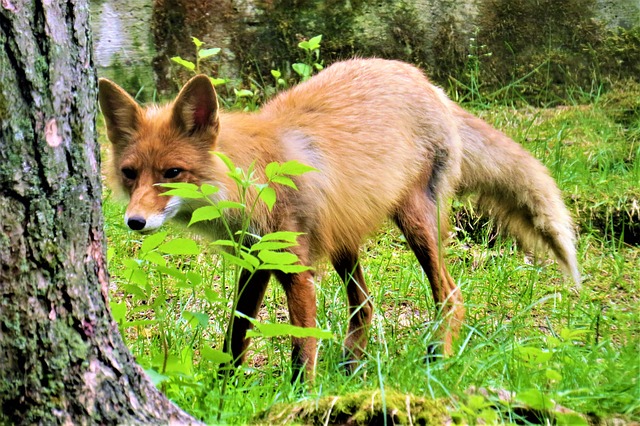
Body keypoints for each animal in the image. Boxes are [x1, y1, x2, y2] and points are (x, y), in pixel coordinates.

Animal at [99, 58, 580, 382]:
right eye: (130, 173)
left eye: (172, 173)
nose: (135, 222)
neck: (254, 179)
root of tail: (426, 81)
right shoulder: (256, 262)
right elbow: (236, 334)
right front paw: (224, 387)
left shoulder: (295, 267)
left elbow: (302, 342)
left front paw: (300, 395)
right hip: (344, 239)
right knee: (365, 305)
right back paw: (352, 368)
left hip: (415, 223)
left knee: (451, 296)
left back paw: (436, 362)